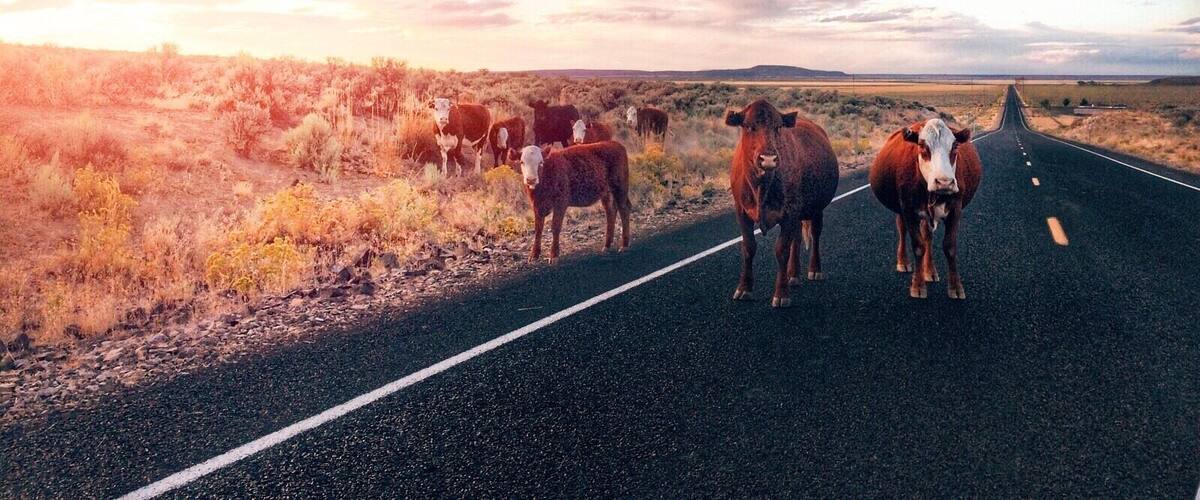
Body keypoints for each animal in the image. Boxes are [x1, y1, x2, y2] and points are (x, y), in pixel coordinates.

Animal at [725, 100, 839, 308]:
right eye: (748, 126)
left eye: (778, 127)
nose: (768, 159)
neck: (761, 186)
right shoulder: (742, 212)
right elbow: (749, 247)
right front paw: (744, 289)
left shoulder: (789, 212)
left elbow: (781, 250)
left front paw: (781, 294)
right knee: (797, 238)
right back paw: (793, 275)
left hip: (817, 209)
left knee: (815, 234)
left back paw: (814, 270)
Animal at [868, 118, 982, 299]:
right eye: (922, 146)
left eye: (955, 146)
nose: (944, 182)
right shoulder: (908, 210)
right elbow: (918, 246)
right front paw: (918, 285)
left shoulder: (955, 210)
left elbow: (949, 247)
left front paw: (956, 287)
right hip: (902, 211)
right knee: (902, 229)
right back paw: (903, 262)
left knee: (927, 236)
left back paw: (930, 271)